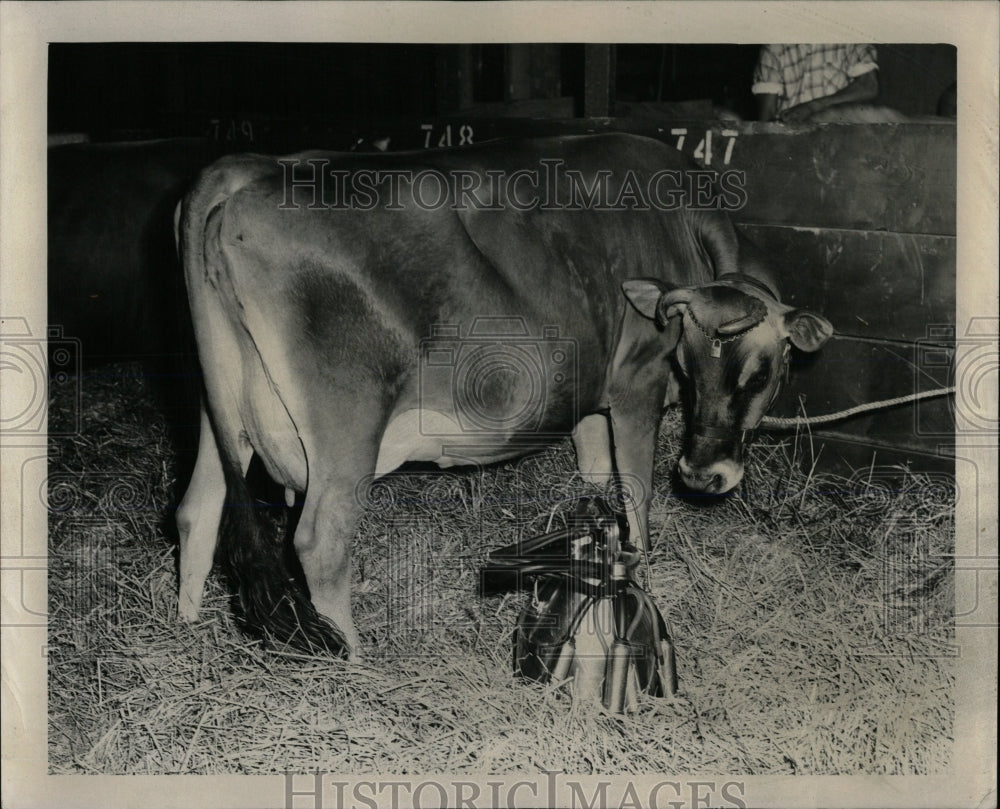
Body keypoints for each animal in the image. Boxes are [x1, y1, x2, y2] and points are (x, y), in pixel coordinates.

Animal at [176, 134, 832, 656]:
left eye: (762, 371)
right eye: (689, 361)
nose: (702, 475)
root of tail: (249, 168)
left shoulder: (588, 393)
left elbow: (597, 479)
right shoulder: (636, 379)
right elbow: (638, 497)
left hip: (217, 409)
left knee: (198, 509)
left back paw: (184, 630)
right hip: (346, 427)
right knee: (319, 542)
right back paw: (356, 666)